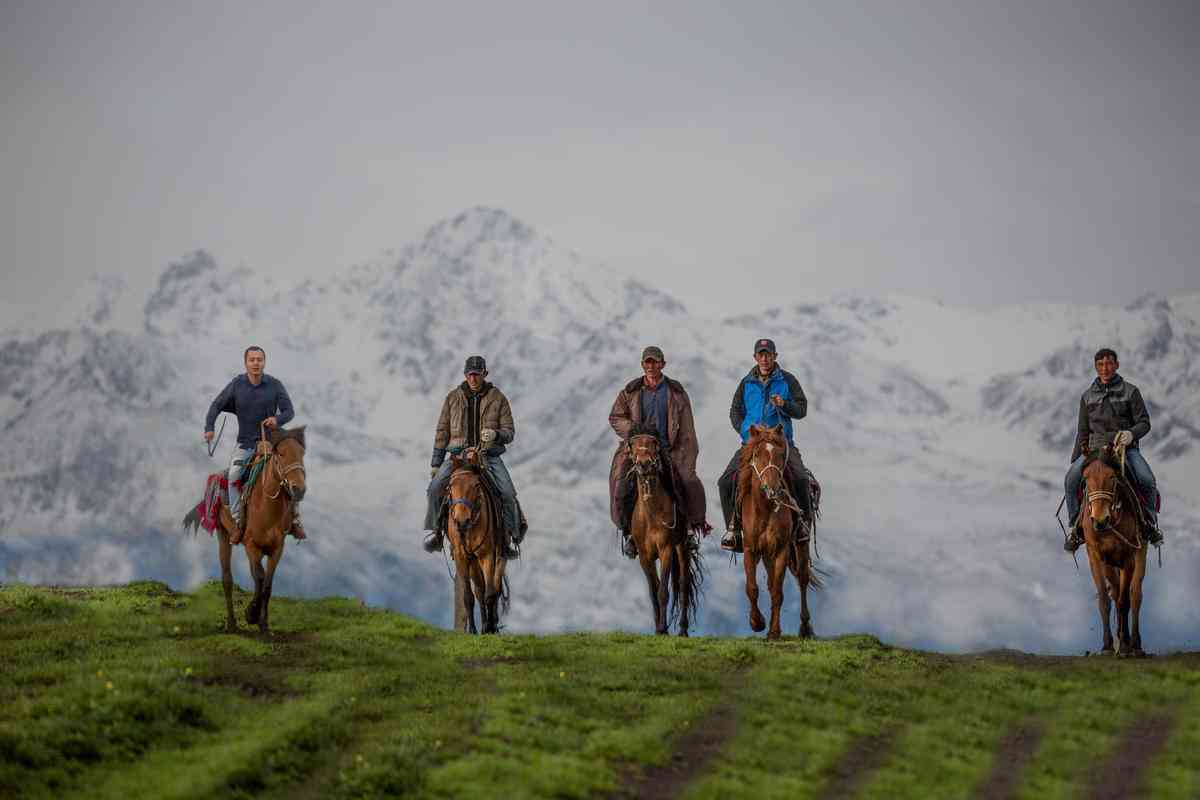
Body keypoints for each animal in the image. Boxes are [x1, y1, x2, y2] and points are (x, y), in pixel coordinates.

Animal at [182, 424, 307, 638]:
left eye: (301, 454)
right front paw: (251, 614)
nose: (298, 489)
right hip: (224, 535)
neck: (266, 505)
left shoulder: (277, 549)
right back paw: (232, 624)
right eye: (281, 454)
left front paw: (264, 625)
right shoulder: (251, 545)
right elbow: (259, 577)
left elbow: (267, 584)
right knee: (227, 579)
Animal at [448, 448, 508, 633]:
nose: (462, 521)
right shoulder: (461, 555)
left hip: (498, 556)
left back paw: (492, 623)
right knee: (479, 590)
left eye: (476, 485)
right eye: (450, 486)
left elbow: (491, 593)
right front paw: (474, 630)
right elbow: (469, 595)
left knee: (495, 587)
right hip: (473, 561)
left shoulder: (487, 554)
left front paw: (489, 627)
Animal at [628, 431, 700, 638]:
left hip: (682, 548)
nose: (644, 463)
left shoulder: (666, 550)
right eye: (633, 445)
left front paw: (663, 629)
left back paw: (683, 629)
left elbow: (663, 592)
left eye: (654, 444)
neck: (651, 516)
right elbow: (653, 591)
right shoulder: (644, 556)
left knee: (683, 585)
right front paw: (658, 628)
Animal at [734, 422, 820, 642]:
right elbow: (752, 588)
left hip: (799, 544)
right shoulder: (750, 550)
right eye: (757, 454)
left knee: (802, 578)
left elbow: (778, 592)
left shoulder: (781, 549)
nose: (772, 487)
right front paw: (757, 623)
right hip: (766, 554)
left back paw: (805, 628)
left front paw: (773, 631)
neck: (765, 508)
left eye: (780, 455)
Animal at [1084, 443, 1147, 657]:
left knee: (1135, 594)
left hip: (1141, 553)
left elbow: (1124, 600)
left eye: (1112, 477)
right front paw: (1108, 645)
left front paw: (1126, 645)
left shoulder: (1128, 557)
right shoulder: (1098, 556)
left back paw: (1135, 644)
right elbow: (1106, 598)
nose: (1100, 520)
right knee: (1116, 591)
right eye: (1085, 478)